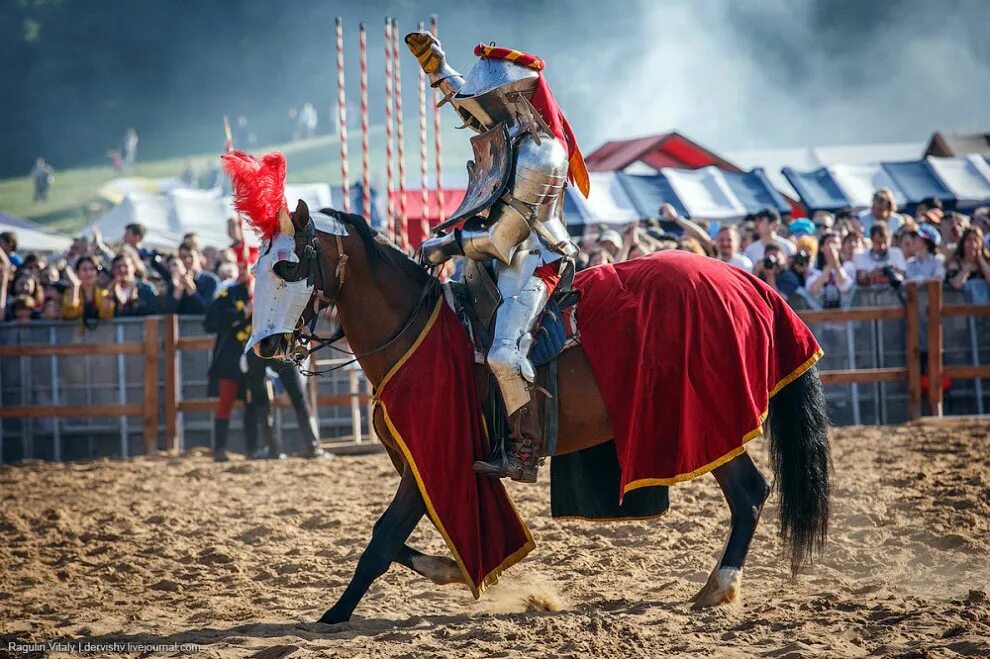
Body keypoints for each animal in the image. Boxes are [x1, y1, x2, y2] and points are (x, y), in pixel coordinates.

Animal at [248, 204, 828, 628]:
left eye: (285, 267)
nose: (266, 346)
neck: (414, 328)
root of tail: (753, 284)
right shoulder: (422, 467)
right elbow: (403, 537)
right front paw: (452, 569)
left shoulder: (429, 461)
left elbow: (382, 538)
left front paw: (334, 615)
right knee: (749, 492)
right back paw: (717, 586)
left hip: (707, 422)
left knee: (749, 493)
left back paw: (721, 585)